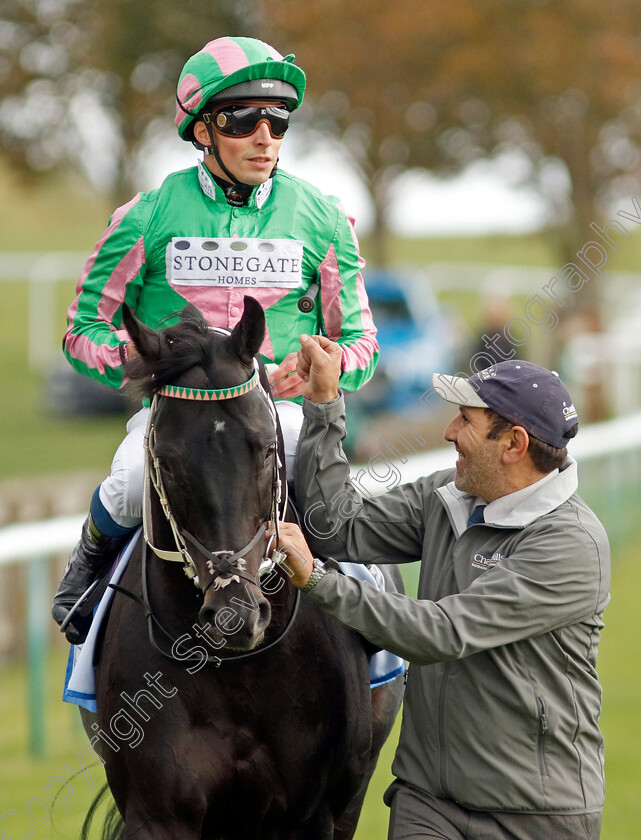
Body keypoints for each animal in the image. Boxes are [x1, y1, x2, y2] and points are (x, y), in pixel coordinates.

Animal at [85, 298, 402, 836]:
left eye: (267, 448)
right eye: (167, 461)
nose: (234, 614)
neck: (238, 673)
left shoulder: (314, 813)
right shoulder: (157, 814)